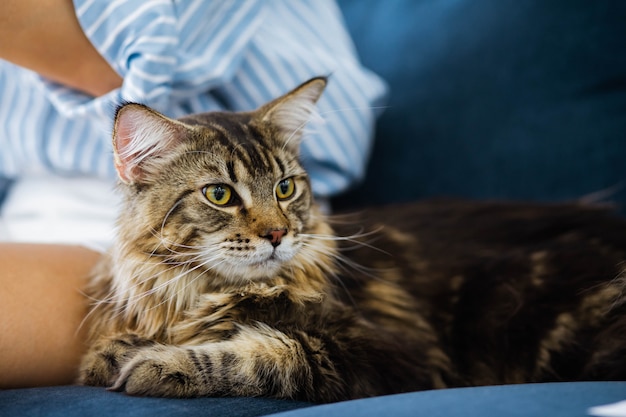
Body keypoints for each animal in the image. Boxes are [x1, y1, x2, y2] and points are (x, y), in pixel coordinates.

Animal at [78, 76, 624, 402]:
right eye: (219, 194)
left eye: (285, 188)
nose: (278, 233)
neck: (215, 293)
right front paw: (116, 352)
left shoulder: (396, 356)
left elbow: (273, 351)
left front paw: (154, 364)